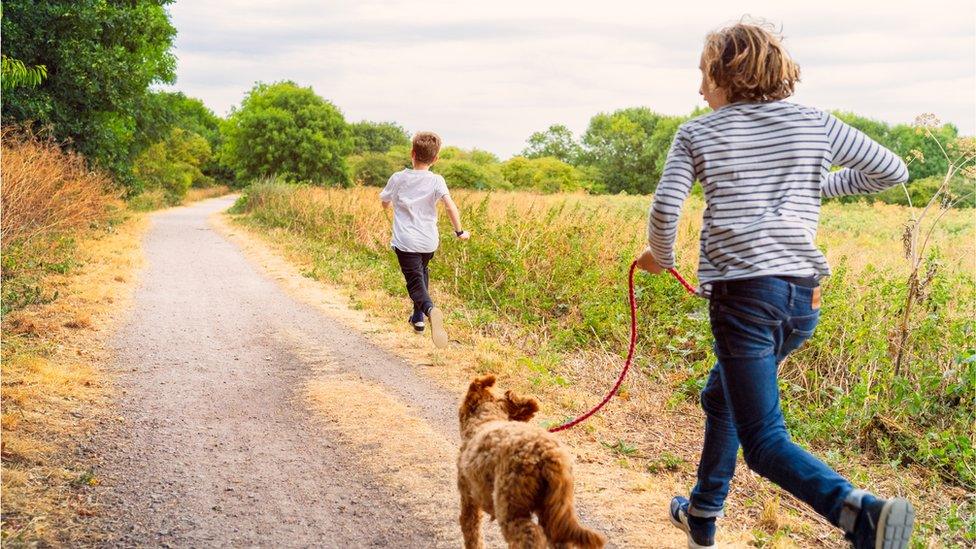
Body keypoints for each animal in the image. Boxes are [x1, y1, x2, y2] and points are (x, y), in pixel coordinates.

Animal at [456, 374, 604, 544]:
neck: (485, 420)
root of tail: (547, 455)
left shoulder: (468, 497)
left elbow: (472, 533)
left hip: (511, 504)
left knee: (530, 534)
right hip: (553, 506)